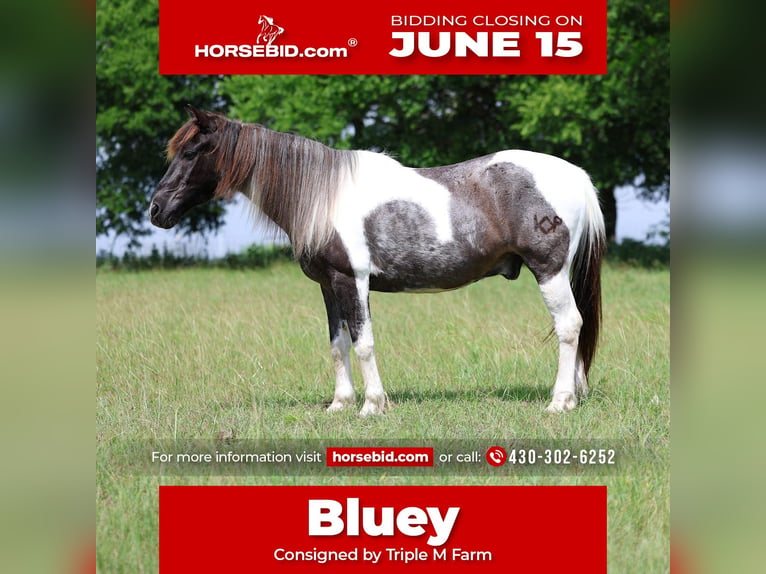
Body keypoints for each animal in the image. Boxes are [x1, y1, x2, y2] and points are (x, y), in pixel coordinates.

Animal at [150, 106, 606, 416]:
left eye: (192, 151)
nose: (156, 209)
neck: (324, 194)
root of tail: (577, 176)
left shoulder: (352, 280)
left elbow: (363, 342)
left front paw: (372, 405)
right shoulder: (328, 285)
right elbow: (337, 344)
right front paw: (339, 404)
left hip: (550, 271)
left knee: (570, 326)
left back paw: (560, 401)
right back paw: (574, 395)